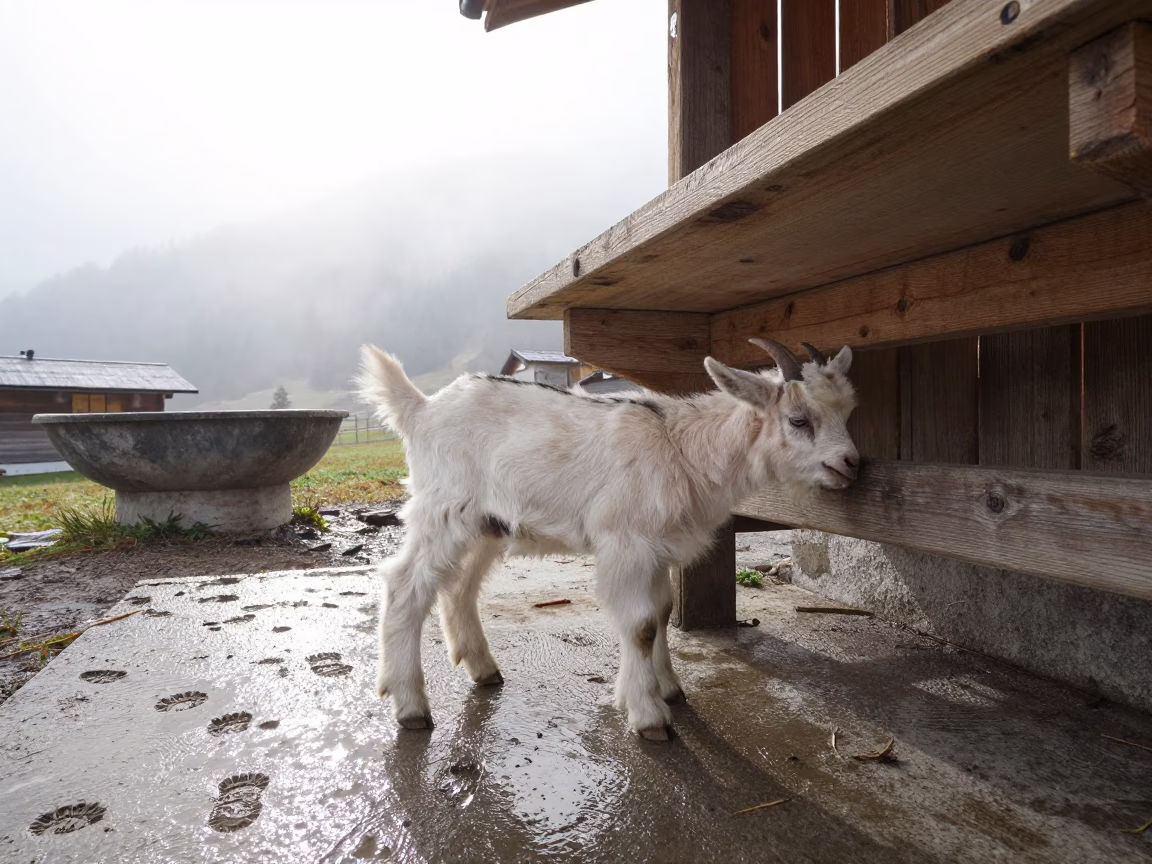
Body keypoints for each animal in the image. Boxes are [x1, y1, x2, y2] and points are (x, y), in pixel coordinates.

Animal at [357, 338, 859, 739]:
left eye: (847, 411)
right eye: (798, 419)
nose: (852, 464)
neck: (682, 447)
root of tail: (421, 409)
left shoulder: (659, 548)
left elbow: (662, 613)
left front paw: (669, 688)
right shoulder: (627, 542)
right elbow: (640, 625)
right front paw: (650, 716)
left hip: (488, 523)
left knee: (459, 587)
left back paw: (483, 670)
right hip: (443, 509)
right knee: (405, 586)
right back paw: (411, 707)